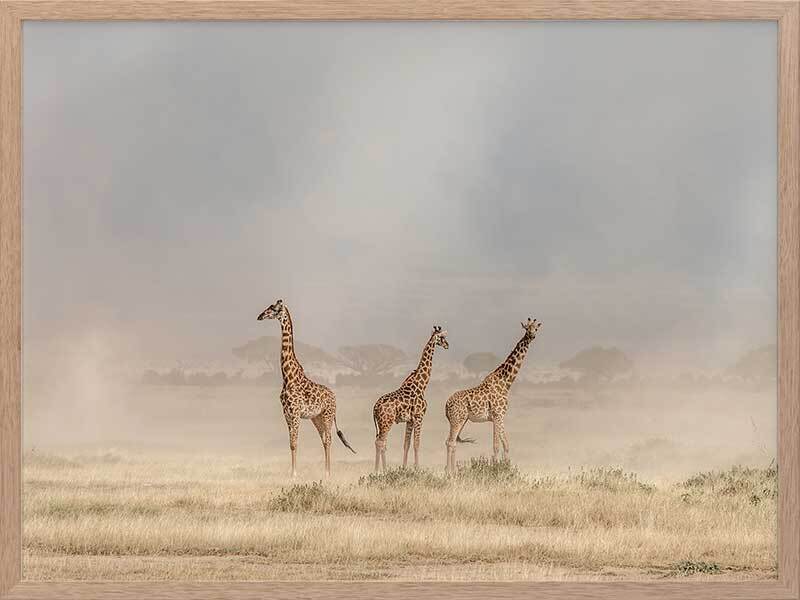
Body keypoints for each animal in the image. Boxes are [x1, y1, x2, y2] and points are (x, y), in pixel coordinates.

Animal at [257, 299, 355, 477]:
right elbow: (291, 443)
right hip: (316, 418)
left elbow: (295, 443)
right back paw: (325, 472)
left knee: (329, 439)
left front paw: (294, 474)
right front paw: (292, 473)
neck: (287, 377)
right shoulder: (287, 414)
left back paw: (328, 473)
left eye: (274, 308)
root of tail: (334, 397)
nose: (260, 316)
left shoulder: (295, 413)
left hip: (328, 415)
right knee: (324, 440)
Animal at [373, 325, 449, 471]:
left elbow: (406, 444)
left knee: (381, 442)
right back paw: (380, 471)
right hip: (386, 422)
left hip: (381, 423)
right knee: (380, 442)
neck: (421, 384)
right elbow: (417, 443)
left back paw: (382, 469)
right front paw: (417, 468)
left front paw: (404, 468)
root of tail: (375, 408)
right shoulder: (419, 416)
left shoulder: (410, 420)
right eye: (442, 337)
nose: (447, 345)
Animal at [444, 317, 541, 472]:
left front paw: (506, 468)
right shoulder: (497, 415)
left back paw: (452, 471)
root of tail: (446, 404)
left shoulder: (499, 417)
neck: (505, 383)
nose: (532, 336)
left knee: (451, 442)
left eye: (536, 328)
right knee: (451, 442)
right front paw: (496, 470)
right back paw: (450, 473)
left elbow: (505, 445)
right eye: (526, 328)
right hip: (457, 420)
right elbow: (496, 446)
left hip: (460, 420)